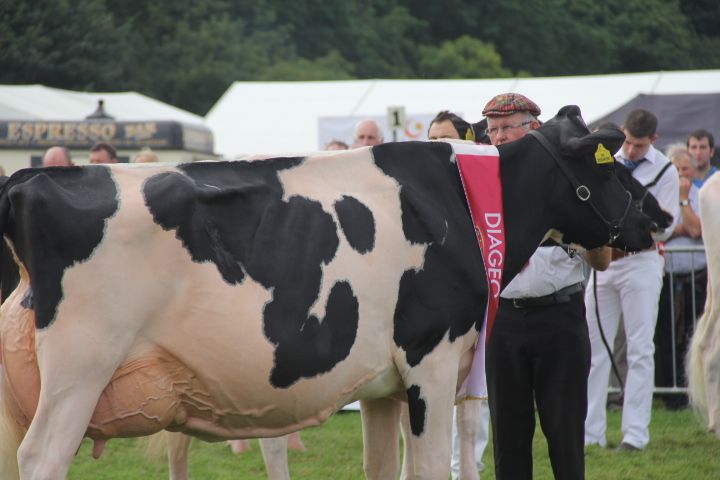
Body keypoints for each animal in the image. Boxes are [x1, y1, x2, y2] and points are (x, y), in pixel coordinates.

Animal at [0, 106, 657, 480]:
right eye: (607, 164)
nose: (658, 215)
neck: (464, 204)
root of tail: (32, 176)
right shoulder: (432, 360)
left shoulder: (382, 386)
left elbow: (382, 469)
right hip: (81, 368)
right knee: (42, 459)